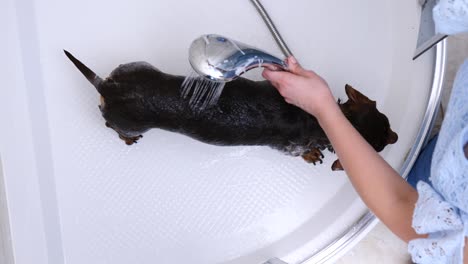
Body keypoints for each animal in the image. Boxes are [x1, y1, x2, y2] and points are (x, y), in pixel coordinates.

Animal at [64, 50, 396, 171]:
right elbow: (303, 152)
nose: (395, 137)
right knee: (111, 126)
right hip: (128, 122)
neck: (317, 117)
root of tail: (108, 86)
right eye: (380, 147)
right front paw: (313, 155)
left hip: (135, 65)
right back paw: (126, 137)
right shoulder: (291, 147)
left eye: (387, 121)